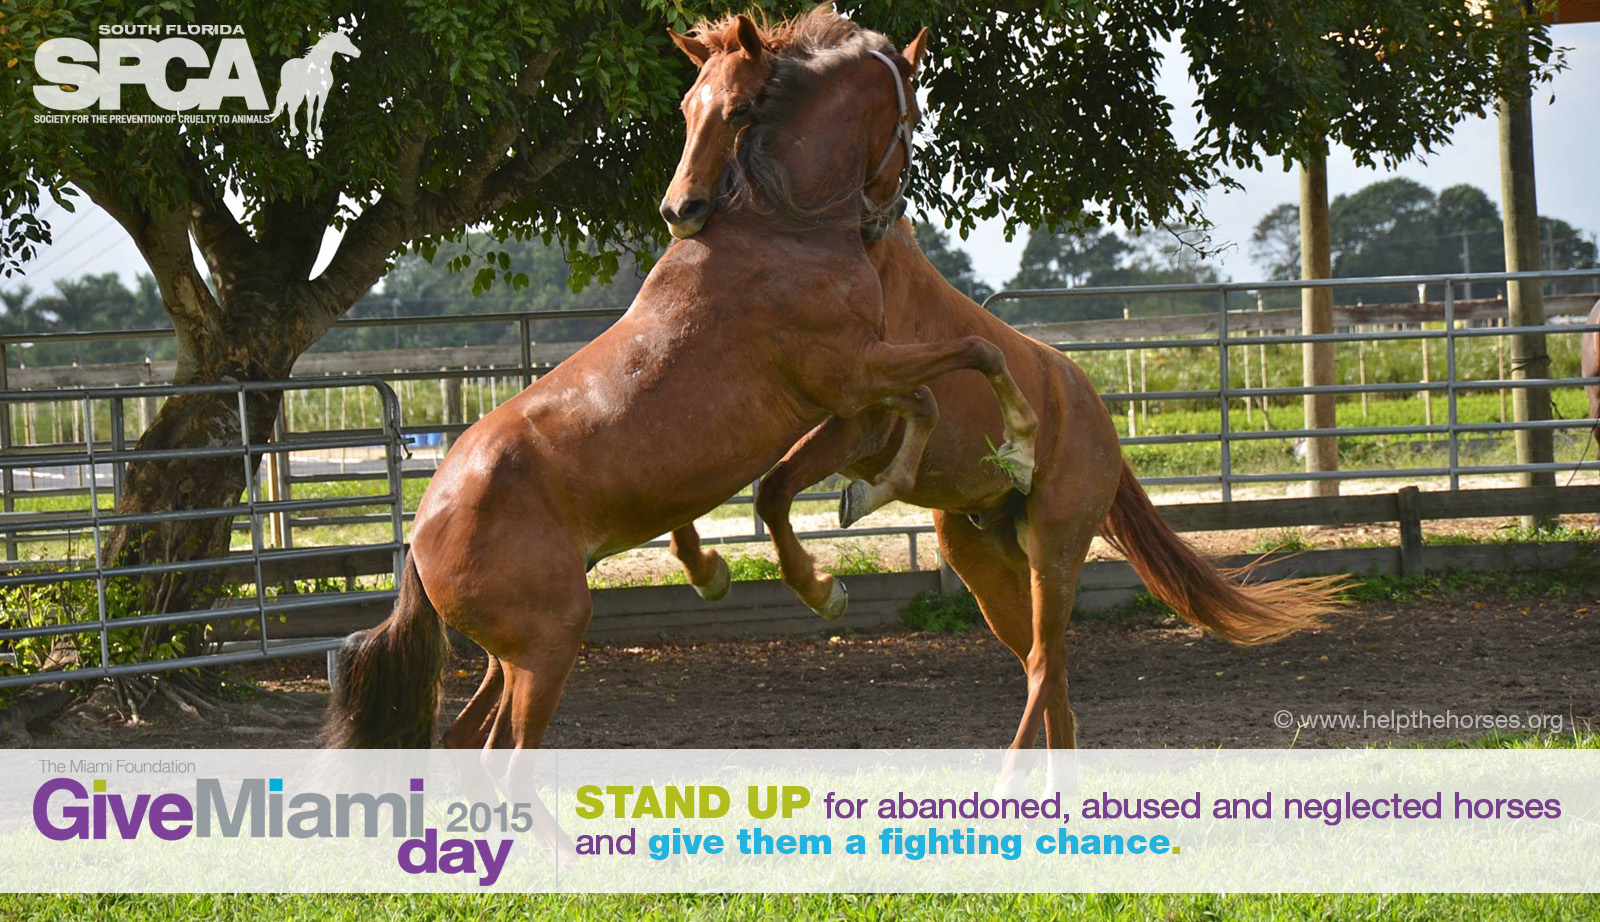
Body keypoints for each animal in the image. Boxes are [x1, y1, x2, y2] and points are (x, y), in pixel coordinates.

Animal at [322, 12, 1042, 759]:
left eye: (737, 109)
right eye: (916, 114)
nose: (885, 217)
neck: (782, 225)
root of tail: (418, 538)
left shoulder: (854, 383)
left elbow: (921, 401)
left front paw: (862, 503)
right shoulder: (854, 370)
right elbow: (979, 352)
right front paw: (1016, 454)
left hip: (506, 658)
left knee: (461, 740)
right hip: (545, 650)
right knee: (502, 757)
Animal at [659, 7, 1348, 756]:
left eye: (743, 109)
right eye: (688, 107)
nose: (680, 210)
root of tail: (1097, 413)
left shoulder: (856, 420)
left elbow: (778, 488)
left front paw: (829, 571)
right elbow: (723, 483)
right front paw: (711, 567)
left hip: (1056, 545)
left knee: (1047, 663)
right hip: (981, 554)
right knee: (1051, 676)